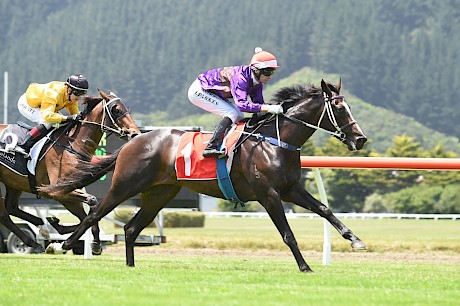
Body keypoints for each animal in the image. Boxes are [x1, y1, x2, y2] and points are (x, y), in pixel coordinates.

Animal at [0, 91, 140, 253]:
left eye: (127, 108)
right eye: (116, 110)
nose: (135, 134)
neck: (72, 145)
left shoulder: (67, 192)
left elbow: (86, 216)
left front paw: (59, 229)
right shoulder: (57, 191)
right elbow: (91, 203)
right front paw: (91, 242)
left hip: (13, 182)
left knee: (11, 208)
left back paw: (42, 229)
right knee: (4, 215)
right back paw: (34, 242)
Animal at [42, 80, 366, 272]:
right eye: (339, 107)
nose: (360, 139)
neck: (276, 141)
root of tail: (134, 140)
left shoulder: (291, 189)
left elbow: (324, 209)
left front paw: (355, 240)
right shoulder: (269, 195)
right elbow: (287, 233)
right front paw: (305, 267)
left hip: (159, 193)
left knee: (131, 228)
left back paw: (131, 266)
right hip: (125, 185)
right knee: (95, 212)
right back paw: (68, 244)